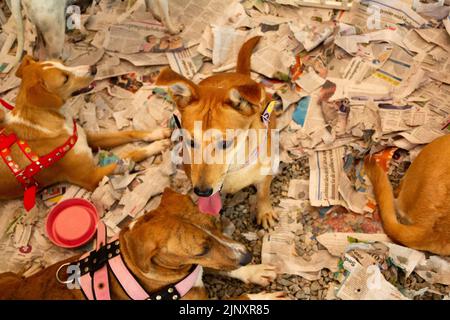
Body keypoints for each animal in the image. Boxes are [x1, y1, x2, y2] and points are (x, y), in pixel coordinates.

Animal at [0, 55, 172, 210]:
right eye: (65, 79)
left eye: (62, 63)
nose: (94, 68)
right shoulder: (92, 177)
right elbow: (132, 154)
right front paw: (157, 146)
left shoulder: (89, 138)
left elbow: (128, 133)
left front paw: (156, 134)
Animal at [0, 188, 284, 300]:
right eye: (201, 249)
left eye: (215, 223)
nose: (247, 256)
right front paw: (261, 297)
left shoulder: (193, 267)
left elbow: (223, 266)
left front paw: (254, 271)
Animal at [156, 37, 280, 230]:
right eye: (191, 142)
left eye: (225, 143)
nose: (202, 191)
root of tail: (240, 75)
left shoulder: (264, 175)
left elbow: (263, 194)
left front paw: (265, 212)